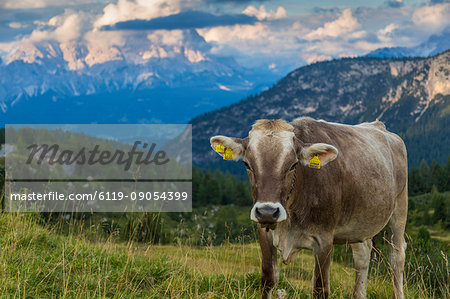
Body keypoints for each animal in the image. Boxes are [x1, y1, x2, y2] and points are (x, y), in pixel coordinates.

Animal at [211, 117, 408, 299]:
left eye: (293, 165)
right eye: (247, 164)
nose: (267, 212)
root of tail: (379, 125)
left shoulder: (324, 239)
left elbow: (320, 288)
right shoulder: (264, 233)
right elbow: (268, 280)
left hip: (400, 204)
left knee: (396, 256)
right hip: (359, 222)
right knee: (362, 255)